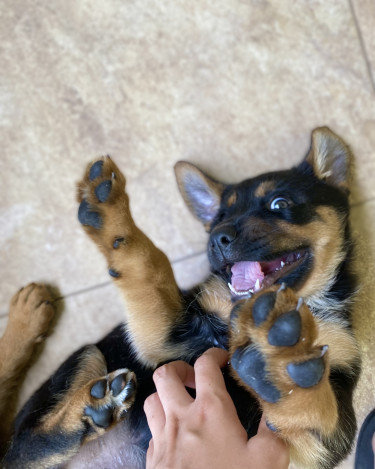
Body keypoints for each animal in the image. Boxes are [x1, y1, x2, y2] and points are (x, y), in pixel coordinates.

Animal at [1, 128, 362, 468]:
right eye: (217, 219)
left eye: (280, 204)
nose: (217, 239)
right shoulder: (166, 339)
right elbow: (150, 264)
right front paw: (112, 219)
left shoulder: (316, 442)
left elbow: (312, 406)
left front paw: (279, 358)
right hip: (88, 356)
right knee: (26, 446)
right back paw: (89, 407)